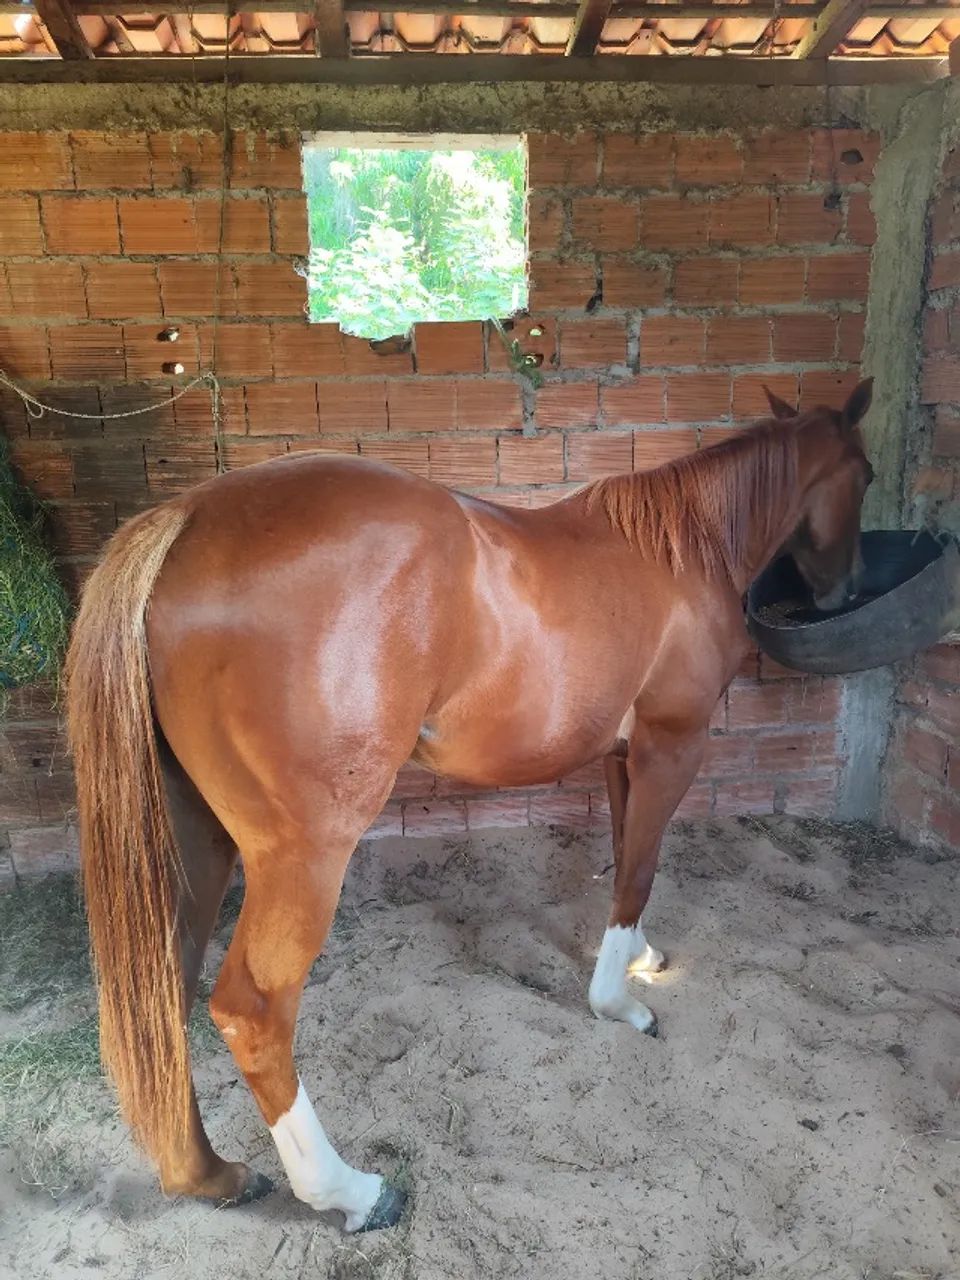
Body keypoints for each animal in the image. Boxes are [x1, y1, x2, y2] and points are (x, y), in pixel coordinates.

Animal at [65, 377, 873, 1233]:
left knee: (163, 990)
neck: (678, 556)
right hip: (303, 853)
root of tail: (185, 521)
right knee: (253, 1011)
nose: (843, 590)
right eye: (867, 474)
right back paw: (350, 1191)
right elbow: (642, 867)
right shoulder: (670, 746)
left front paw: (637, 959)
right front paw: (620, 1004)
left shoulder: (622, 758)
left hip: (196, 839)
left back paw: (208, 1173)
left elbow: (627, 857)